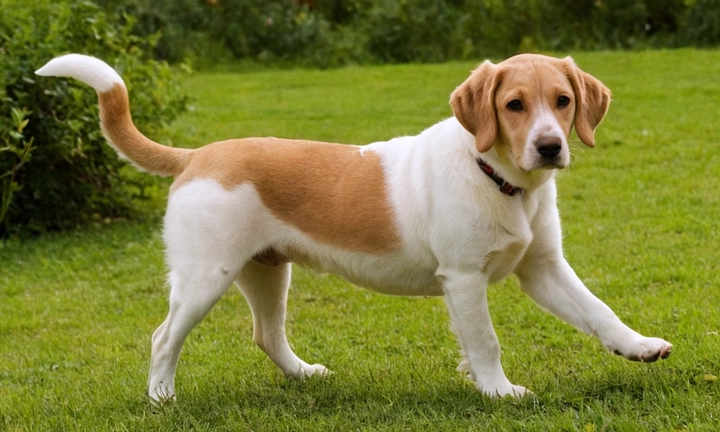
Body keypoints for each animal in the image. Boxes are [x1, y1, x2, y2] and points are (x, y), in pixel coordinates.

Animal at [36, 54, 672, 402]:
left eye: (562, 101)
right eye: (514, 105)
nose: (549, 147)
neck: (497, 178)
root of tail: (197, 155)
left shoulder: (542, 270)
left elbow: (598, 312)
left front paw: (640, 346)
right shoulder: (464, 279)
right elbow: (487, 341)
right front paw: (499, 391)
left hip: (267, 272)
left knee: (267, 335)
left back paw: (303, 374)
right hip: (203, 279)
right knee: (163, 338)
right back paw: (163, 398)